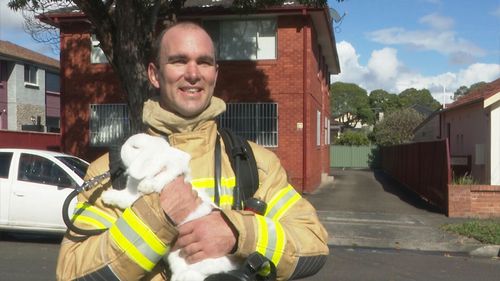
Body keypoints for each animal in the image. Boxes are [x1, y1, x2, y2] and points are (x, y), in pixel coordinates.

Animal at [101, 132, 238, 278]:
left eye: (135, 147)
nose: (121, 147)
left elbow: (161, 178)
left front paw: (145, 186)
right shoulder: (131, 194)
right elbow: (123, 196)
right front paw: (107, 195)